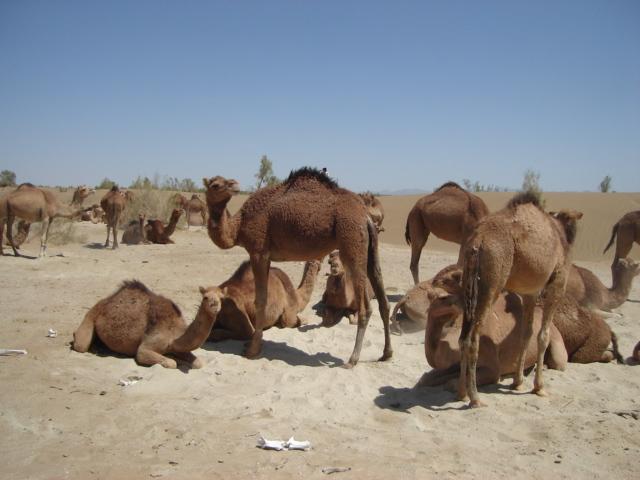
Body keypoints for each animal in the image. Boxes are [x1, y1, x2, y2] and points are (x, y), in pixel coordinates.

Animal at [72, 280, 223, 368]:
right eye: (205, 297)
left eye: (221, 298)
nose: (215, 306)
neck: (174, 335)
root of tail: (106, 300)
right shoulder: (145, 348)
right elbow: (171, 363)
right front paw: (175, 360)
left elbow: (198, 363)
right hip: (91, 315)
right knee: (80, 345)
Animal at [203, 167, 391, 367]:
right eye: (215, 184)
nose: (234, 185)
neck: (238, 227)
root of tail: (365, 216)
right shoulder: (265, 256)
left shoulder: (258, 251)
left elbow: (261, 300)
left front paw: (252, 350)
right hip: (370, 246)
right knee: (382, 297)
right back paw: (386, 354)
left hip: (352, 241)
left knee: (366, 307)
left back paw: (352, 359)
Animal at [458, 193, 582, 407]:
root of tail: (478, 239)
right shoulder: (557, 286)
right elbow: (543, 335)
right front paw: (539, 387)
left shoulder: (530, 293)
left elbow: (527, 332)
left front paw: (517, 382)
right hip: (492, 281)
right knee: (473, 338)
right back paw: (475, 398)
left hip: (468, 279)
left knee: (463, 336)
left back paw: (462, 393)